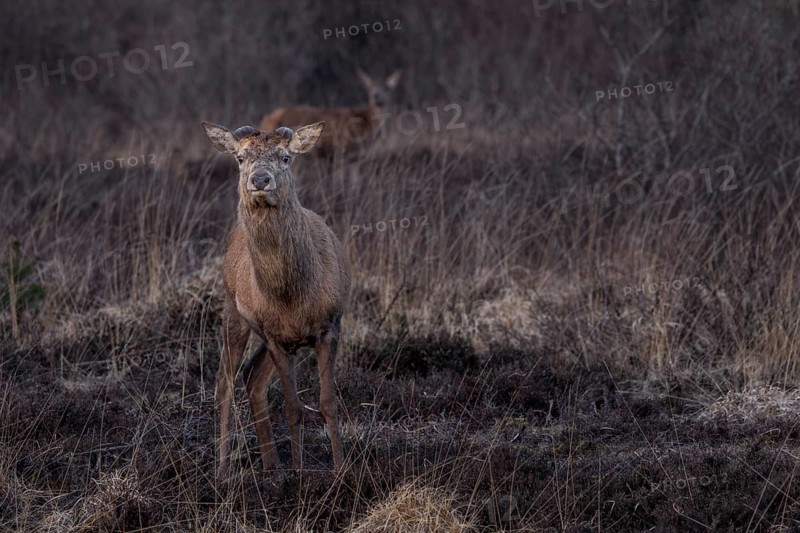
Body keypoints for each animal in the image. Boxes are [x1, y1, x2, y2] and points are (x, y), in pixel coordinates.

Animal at [201, 120, 351, 481]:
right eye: (240, 158)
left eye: (286, 157)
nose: (259, 179)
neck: (292, 297)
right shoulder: (275, 337)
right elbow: (293, 407)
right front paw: (298, 473)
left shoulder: (330, 324)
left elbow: (327, 402)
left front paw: (341, 470)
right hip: (234, 312)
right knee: (224, 381)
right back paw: (224, 469)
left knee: (252, 378)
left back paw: (271, 465)